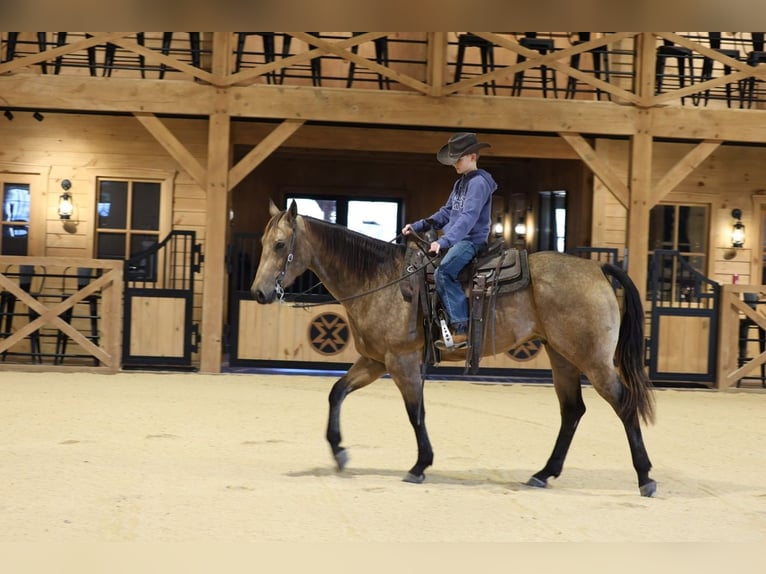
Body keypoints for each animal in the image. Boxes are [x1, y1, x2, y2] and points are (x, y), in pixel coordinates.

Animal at [251, 200, 657, 497]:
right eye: (263, 244)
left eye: (281, 245)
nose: (259, 292)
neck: (381, 280)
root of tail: (598, 270)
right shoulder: (374, 361)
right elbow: (337, 393)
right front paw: (339, 452)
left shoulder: (401, 361)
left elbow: (415, 413)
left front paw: (420, 466)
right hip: (563, 358)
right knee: (572, 411)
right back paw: (544, 473)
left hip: (594, 361)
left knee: (623, 403)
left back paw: (645, 478)